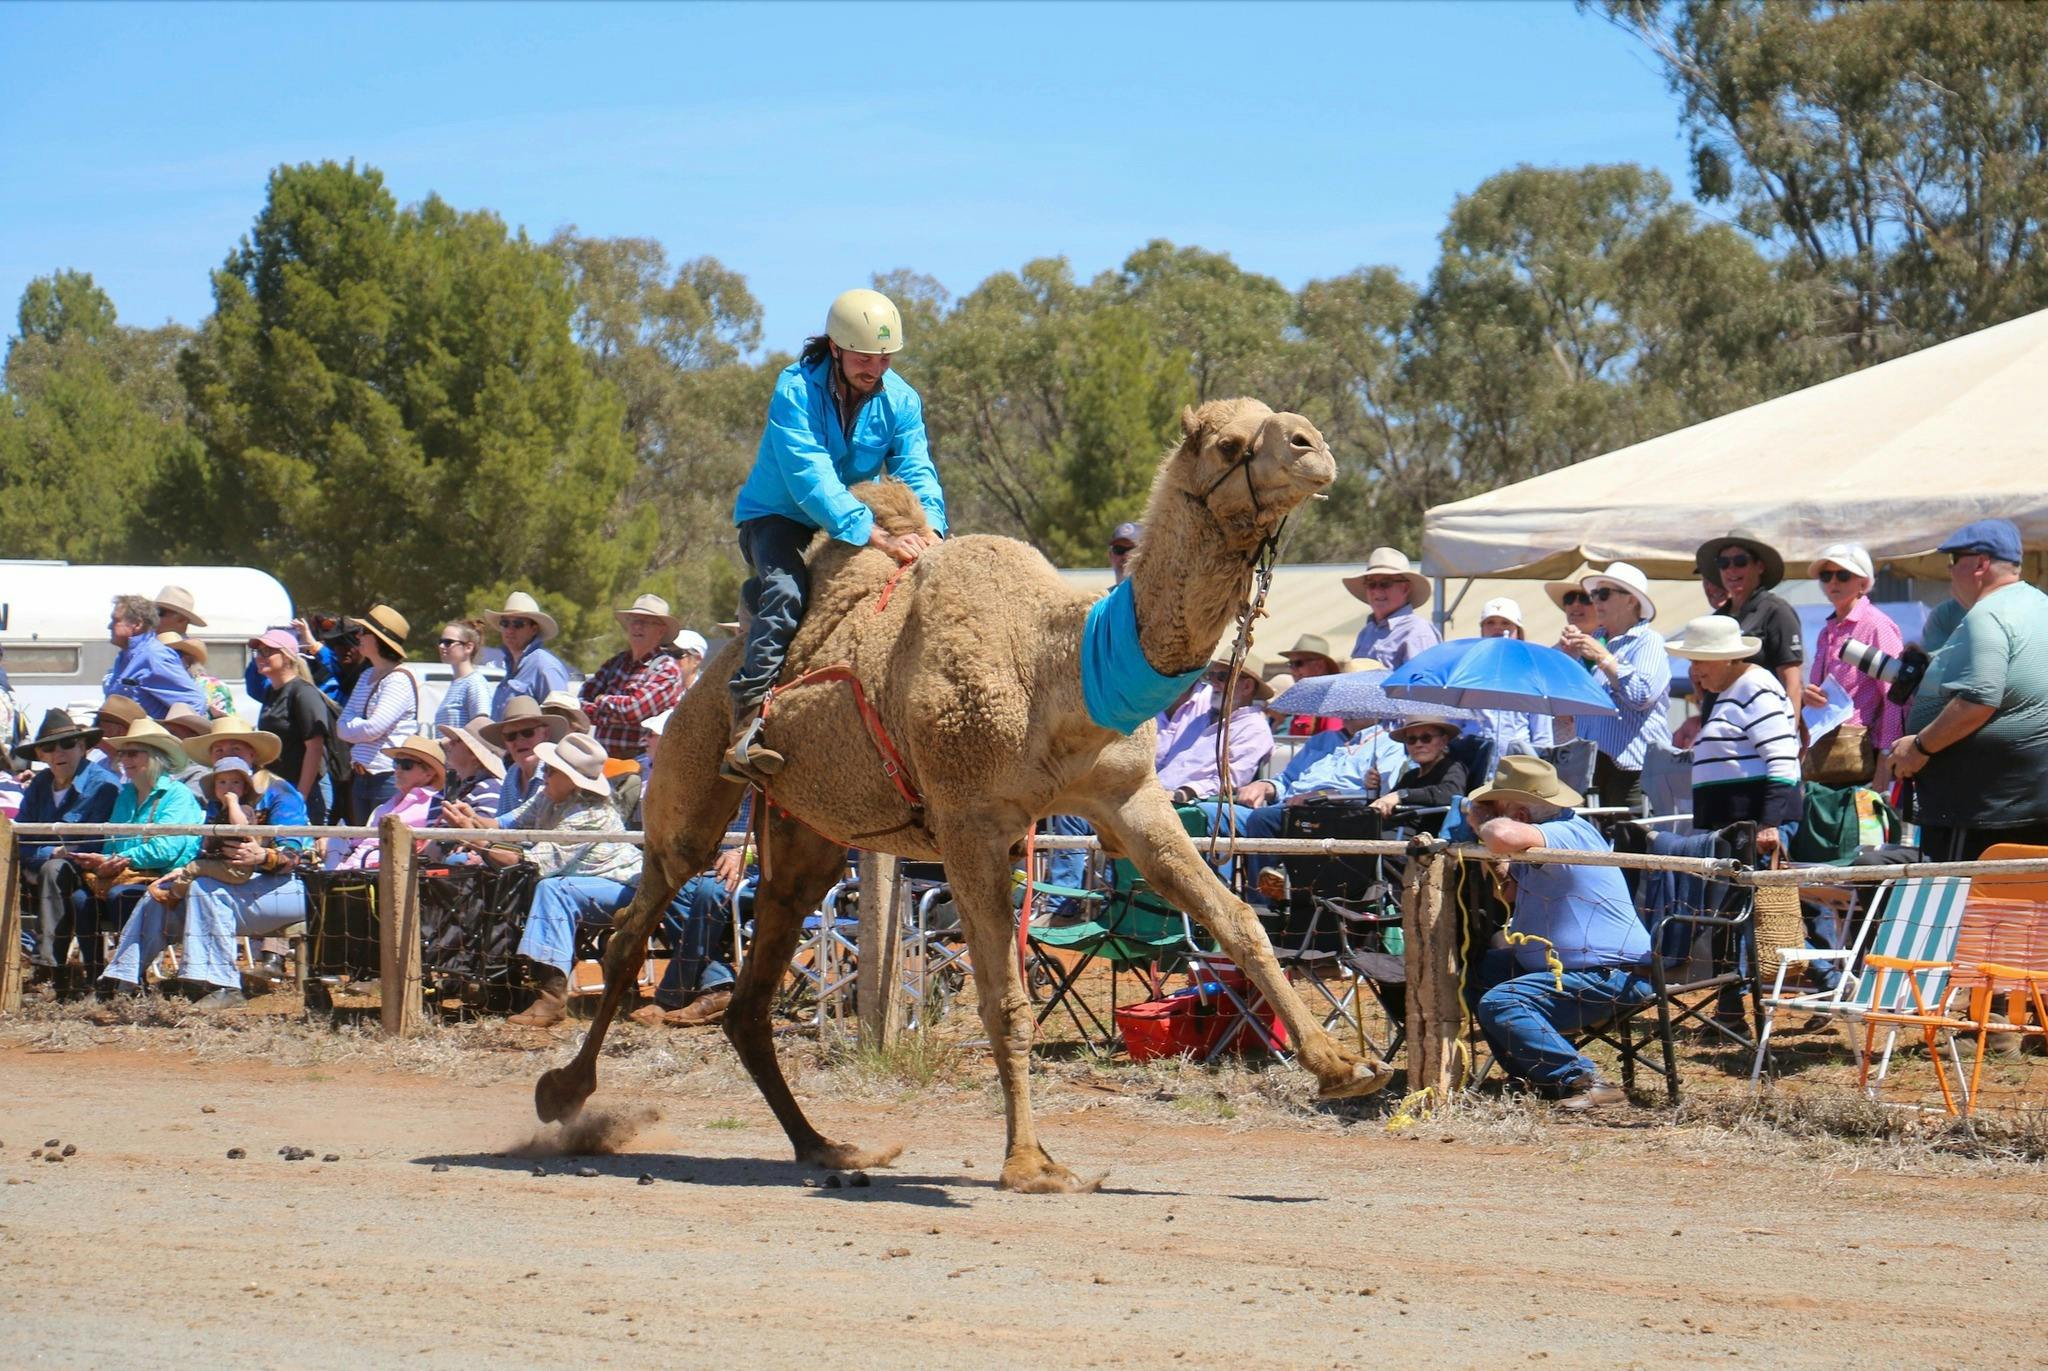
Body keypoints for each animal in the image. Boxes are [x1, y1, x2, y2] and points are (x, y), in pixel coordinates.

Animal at [535, 397, 1393, 1193]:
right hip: (690, 786)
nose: (1313, 447)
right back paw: (564, 1094)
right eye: (1228, 443)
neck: (1058, 663)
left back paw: (829, 1147)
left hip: (806, 839)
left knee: (749, 995)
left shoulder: (1128, 799)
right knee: (630, 934)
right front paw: (1031, 1163)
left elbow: (1239, 919)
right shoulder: (969, 819)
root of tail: (705, 676)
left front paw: (1345, 1067)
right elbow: (1004, 1000)